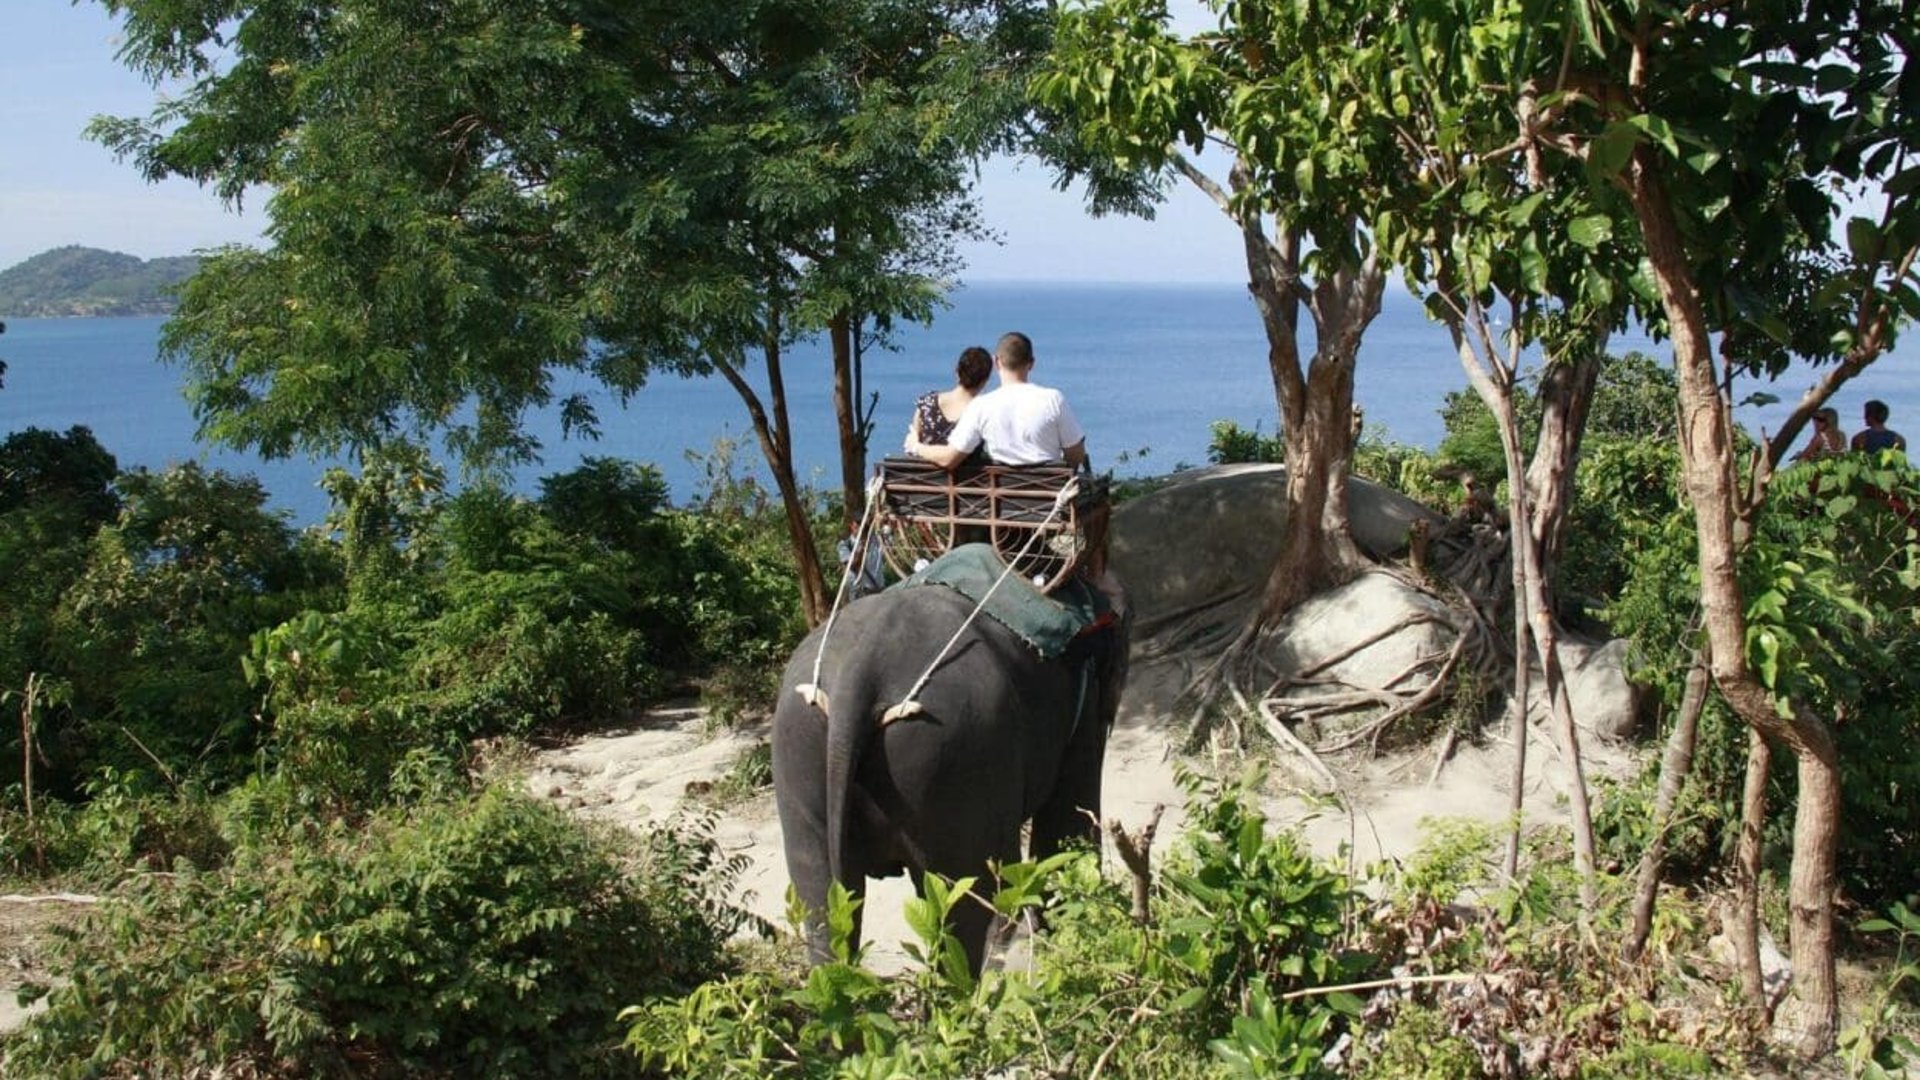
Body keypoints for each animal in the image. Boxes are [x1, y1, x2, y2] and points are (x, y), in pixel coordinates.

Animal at [771, 575, 1129, 976]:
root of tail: (860, 670)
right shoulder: (1082, 703)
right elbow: (1069, 821)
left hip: (798, 749)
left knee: (822, 899)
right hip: (957, 755)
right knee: (966, 903)